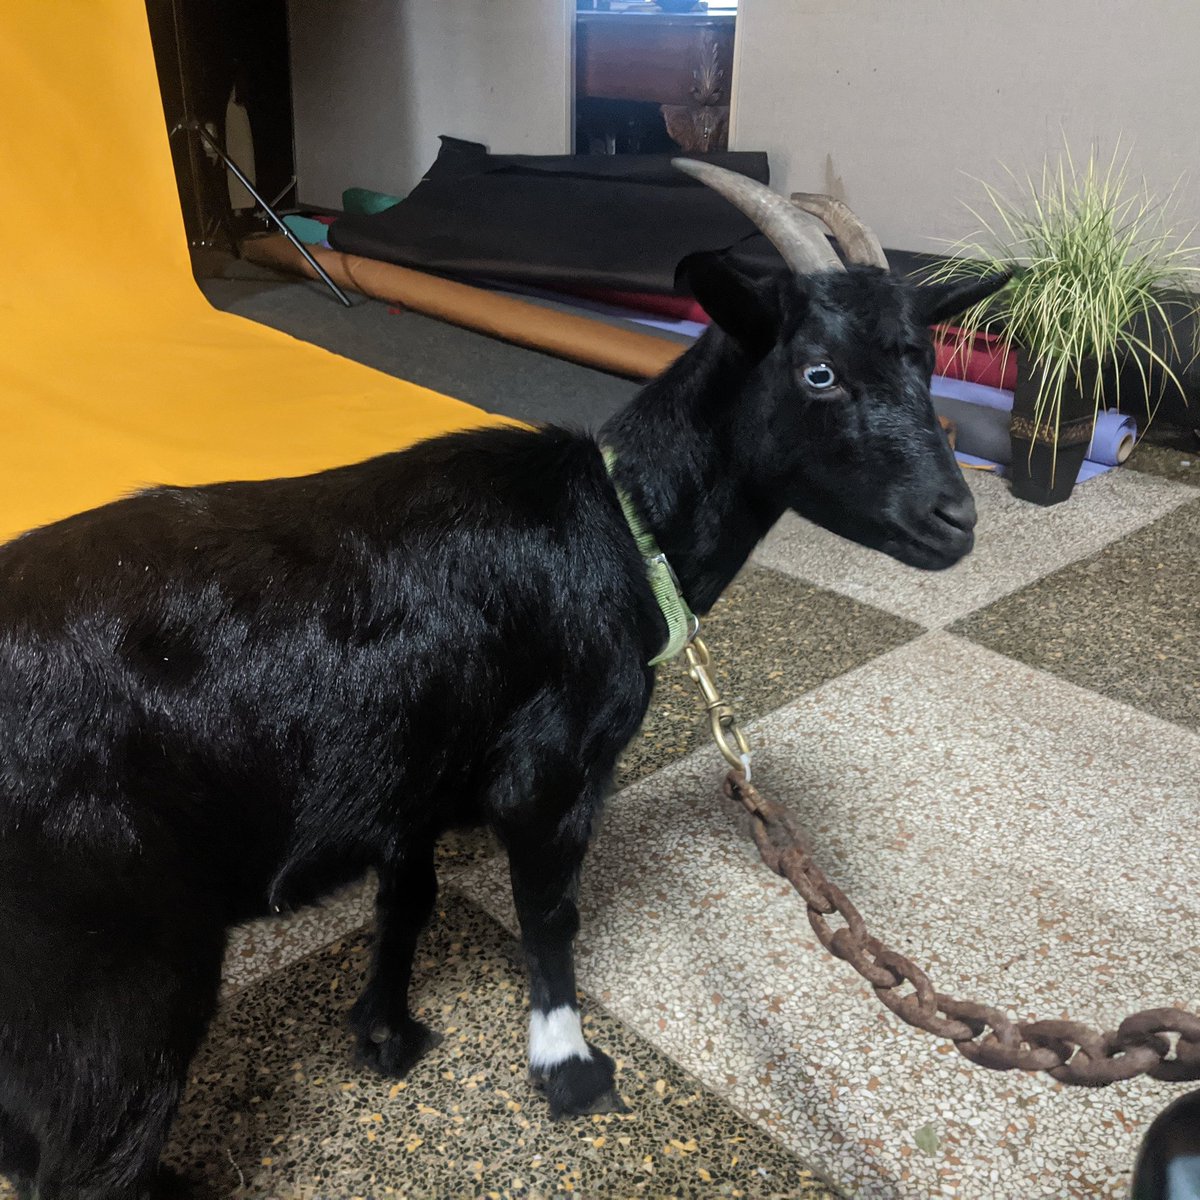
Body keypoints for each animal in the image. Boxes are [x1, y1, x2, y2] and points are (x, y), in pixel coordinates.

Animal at [0, 161, 1007, 1199]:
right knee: (92, 1153)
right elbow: (550, 915)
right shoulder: (547, 773)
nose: (956, 519)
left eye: (926, 365)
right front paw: (567, 1066)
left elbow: (409, 902)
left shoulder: (410, 779)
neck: (621, 523)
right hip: (113, 972)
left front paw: (385, 1030)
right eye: (819, 373)